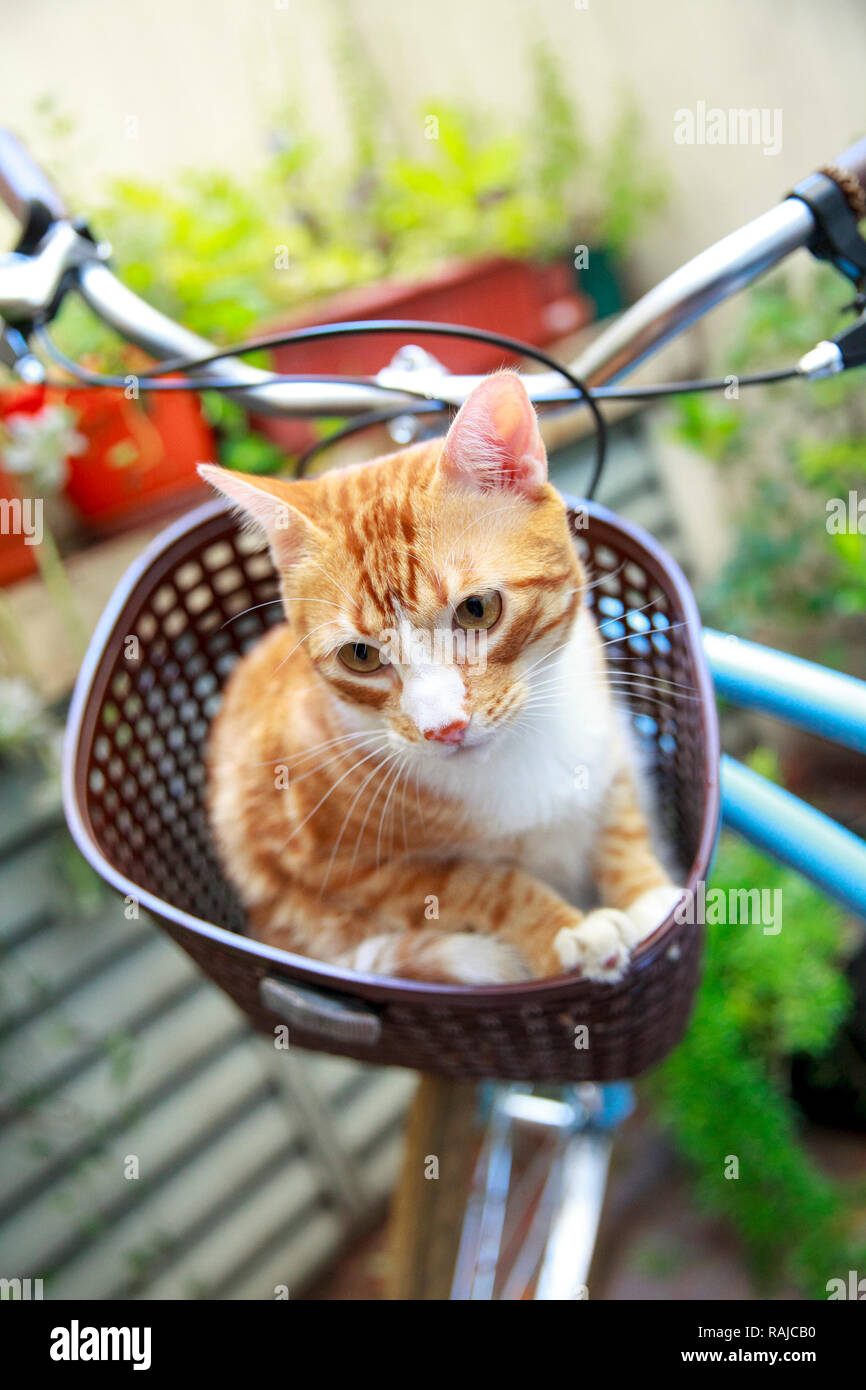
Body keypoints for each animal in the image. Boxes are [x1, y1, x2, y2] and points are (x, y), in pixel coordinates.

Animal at [200, 369, 681, 984]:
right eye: (360, 655)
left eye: (477, 610)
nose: (444, 727)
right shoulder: (356, 872)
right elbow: (484, 883)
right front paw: (566, 931)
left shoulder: (609, 742)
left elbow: (620, 821)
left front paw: (648, 899)